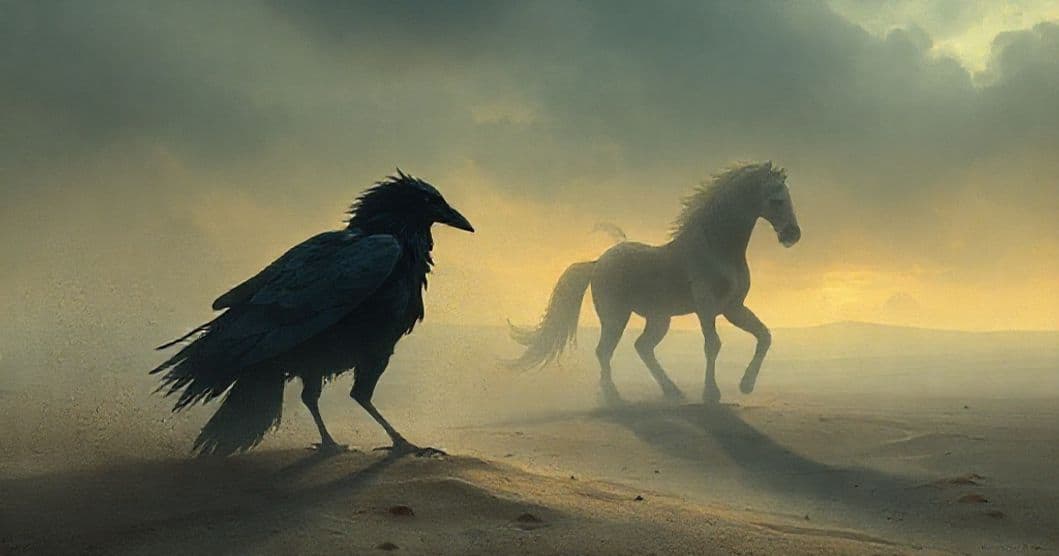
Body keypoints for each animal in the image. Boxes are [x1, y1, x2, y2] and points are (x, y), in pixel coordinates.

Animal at [508, 161, 801, 404]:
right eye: (776, 200)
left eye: (788, 197)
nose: (792, 235)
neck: (716, 249)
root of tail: (597, 263)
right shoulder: (707, 309)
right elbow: (713, 345)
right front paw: (711, 394)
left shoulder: (733, 308)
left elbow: (764, 335)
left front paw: (746, 386)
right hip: (616, 317)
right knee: (604, 351)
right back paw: (612, 396)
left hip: (659, 318)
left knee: (642, 347)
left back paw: (671, 391)